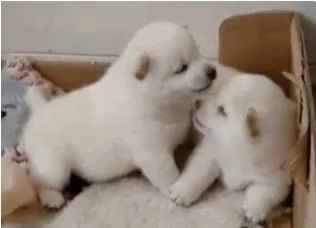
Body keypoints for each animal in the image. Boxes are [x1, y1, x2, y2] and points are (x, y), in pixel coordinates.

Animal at [21, 22, 220, 209]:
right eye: (181, 68)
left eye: (198, 53)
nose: (212, 71)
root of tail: (39, 111)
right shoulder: (152, 151)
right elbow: (167, 174)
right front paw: (175, 188)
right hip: (54, 165)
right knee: (38, 180)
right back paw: (51, 197)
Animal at [168, 74, 296, 224]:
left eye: (222, 110)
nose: (197, 101)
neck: (237, 152)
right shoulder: (210, 150)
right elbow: (198, 172)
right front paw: (181, 192)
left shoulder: (277, 176)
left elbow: (264, 192)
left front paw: (253, 210)